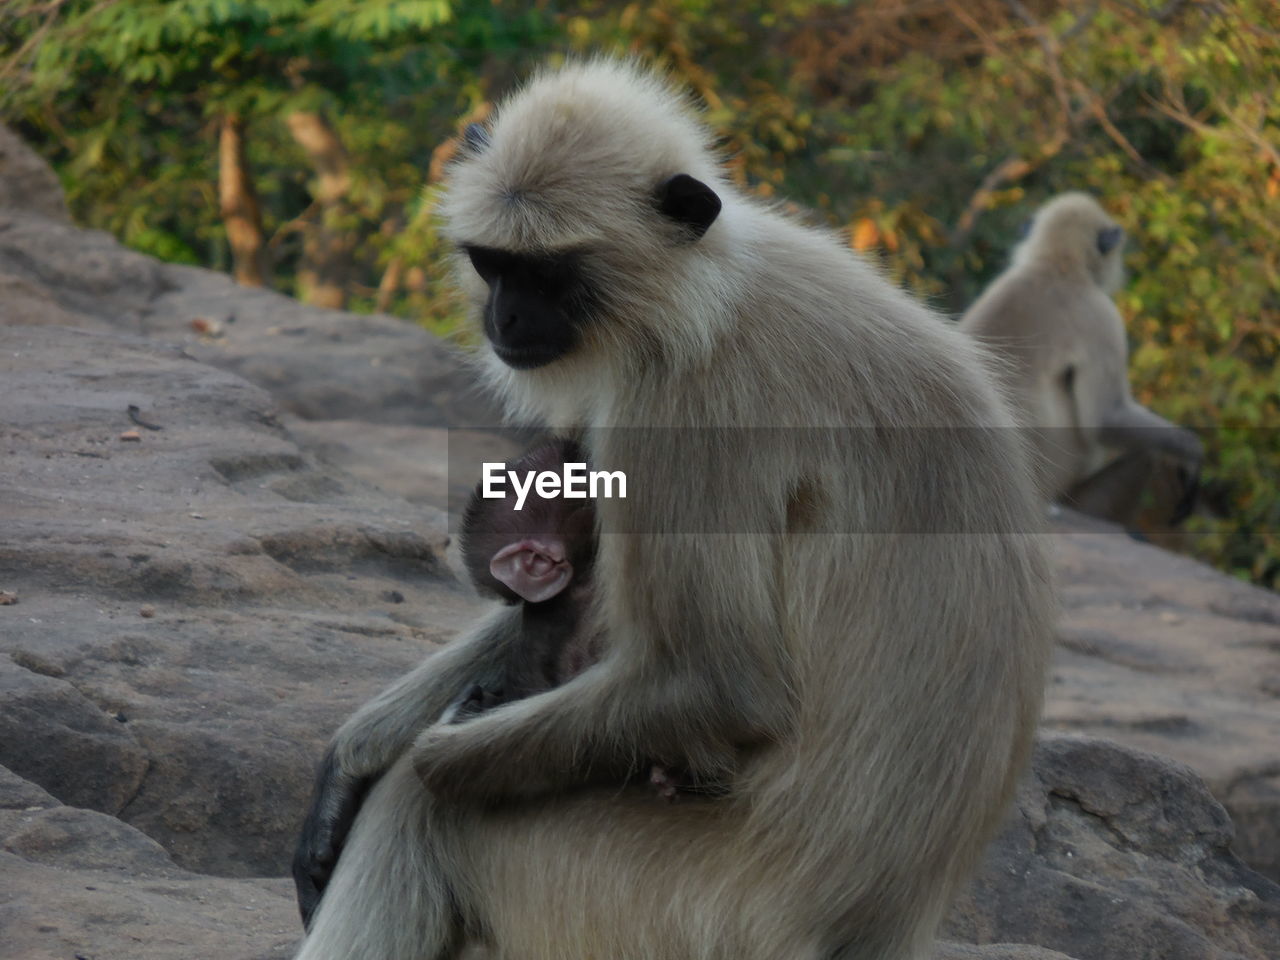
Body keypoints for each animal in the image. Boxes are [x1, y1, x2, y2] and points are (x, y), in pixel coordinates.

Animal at [962, 189, 1203, 535]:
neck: (1056, 265)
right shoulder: (1101, 316)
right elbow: (1105, 419)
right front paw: (1191, 452)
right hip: (1075, 495)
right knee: (1146, 454)